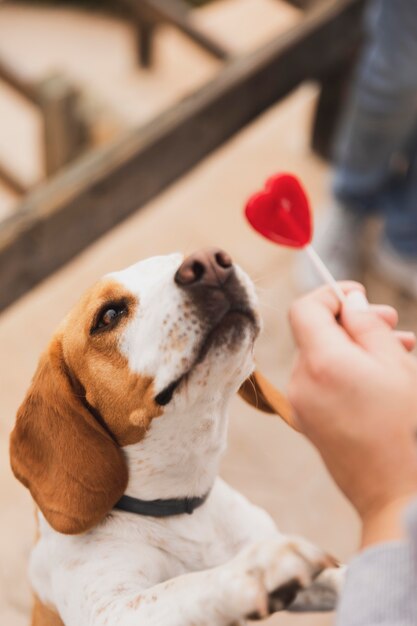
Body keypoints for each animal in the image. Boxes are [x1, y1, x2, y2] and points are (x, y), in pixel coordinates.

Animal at [9, 246, 342, 620]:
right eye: (108, 315)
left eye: (177, 259)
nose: (211, 263)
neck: (181, 503)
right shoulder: (113, 609)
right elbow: (185, 586)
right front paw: (257, 569)